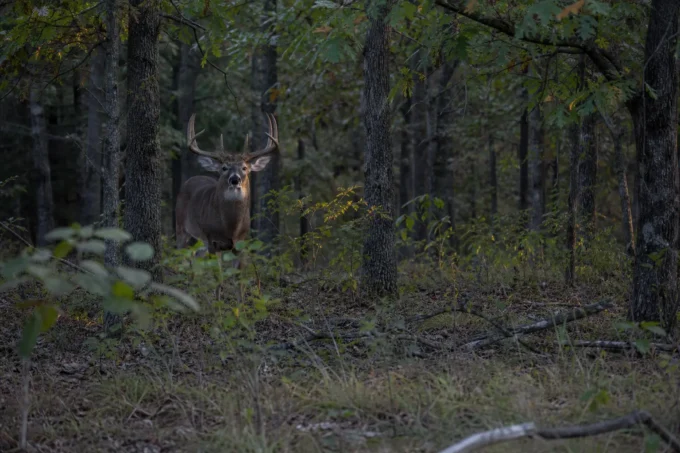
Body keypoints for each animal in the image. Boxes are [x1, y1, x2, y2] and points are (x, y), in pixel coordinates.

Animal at [175, 112, 279, 271]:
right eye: (224, 168)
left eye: (244, 167)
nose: (235, 179)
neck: (230, 228)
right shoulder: (212, 239)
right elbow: (218, 271)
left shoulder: (241, 242)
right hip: (181, 227)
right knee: (180, 256)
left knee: (195, 256)